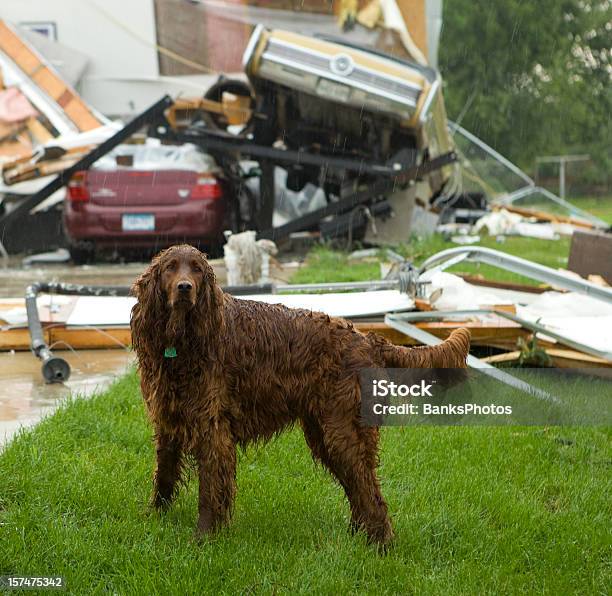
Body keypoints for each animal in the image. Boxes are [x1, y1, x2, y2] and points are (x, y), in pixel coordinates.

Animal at [131, 244, 470, 548]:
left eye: (197, 269)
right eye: (170, 268)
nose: (184, 288)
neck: (183, 344)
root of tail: (368, 340)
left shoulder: (212, 430)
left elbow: (209, 491)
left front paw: (203, 537)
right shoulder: (168, 421)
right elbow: (164, 476)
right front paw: (152, 519)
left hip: (343, 433)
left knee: (370, 493)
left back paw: (380, 545)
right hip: (325, 434)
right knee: (358, 489)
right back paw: (357, 536)